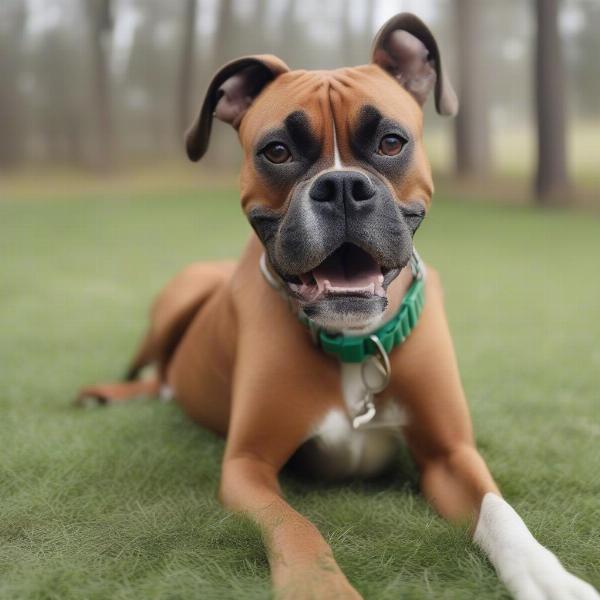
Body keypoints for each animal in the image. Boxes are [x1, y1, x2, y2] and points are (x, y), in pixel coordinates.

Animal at [78, 14, 596, 600]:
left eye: (391, 142)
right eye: (277, 151)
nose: (343, 185)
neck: (354, 340)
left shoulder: (451, 455)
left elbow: (500, 511)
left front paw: (549, 576)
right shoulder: (247, 466)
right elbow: (294, 524)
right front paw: (319, 586)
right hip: (181, 291)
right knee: (155, 374)